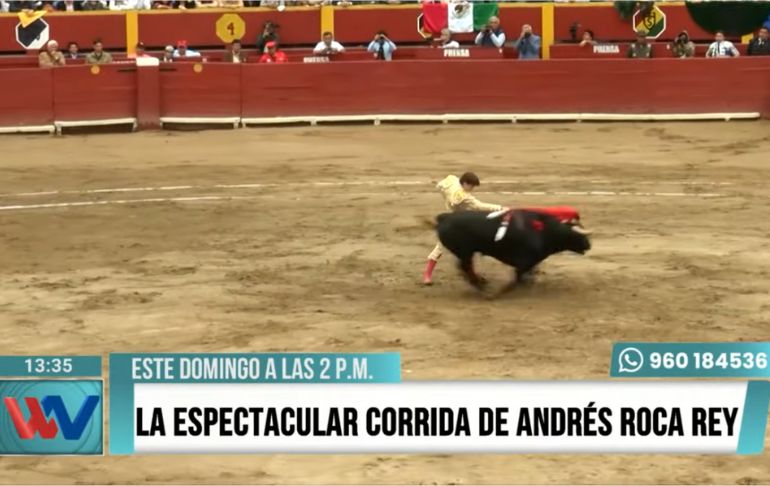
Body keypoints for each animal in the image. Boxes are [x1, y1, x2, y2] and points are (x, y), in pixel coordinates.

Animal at [436, 208, 592, 290]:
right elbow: (520, 274)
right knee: (465, 267)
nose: (589, 245)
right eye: (579, 234)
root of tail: (444, 217)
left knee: (465, 267)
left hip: (466, 253)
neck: (545, 230)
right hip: (465, 252)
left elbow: (527, 272)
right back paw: (480, 284)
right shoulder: (525, 260)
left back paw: (480, 282)